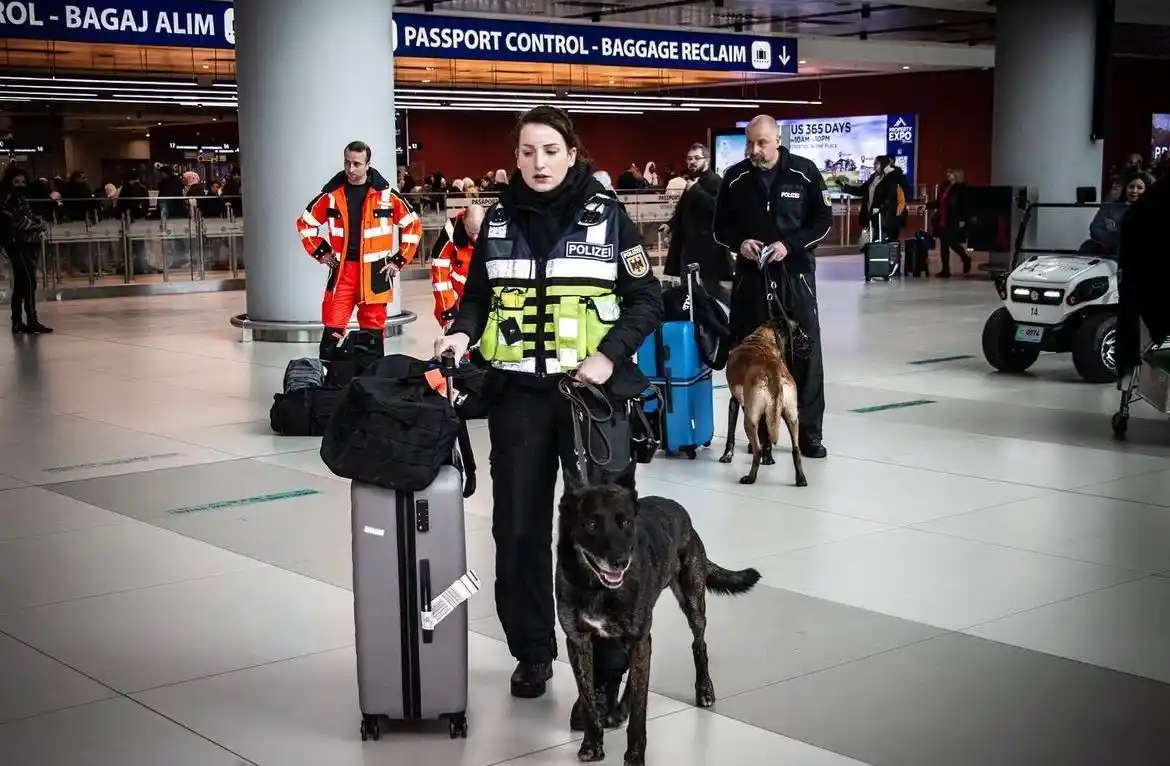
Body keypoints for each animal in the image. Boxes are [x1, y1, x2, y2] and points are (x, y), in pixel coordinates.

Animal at [554, 486, 758, 766]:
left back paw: (704, 689)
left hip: (692, 601)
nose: (620, 561)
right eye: (591, 524)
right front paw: (592, 744)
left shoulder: (638, 639)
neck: (597, 588)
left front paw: (634, 757)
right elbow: (588, 700)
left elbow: (640, 712)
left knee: (699, 643)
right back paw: (620, 710)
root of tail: (679, 510)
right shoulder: (578, 642)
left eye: (627, 523)